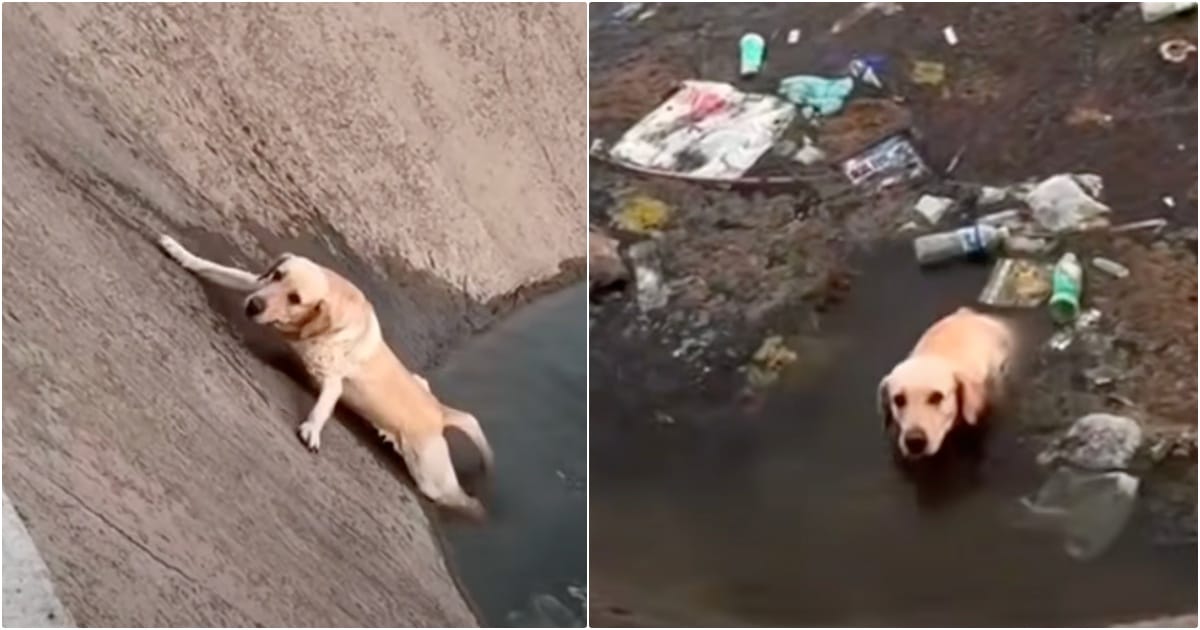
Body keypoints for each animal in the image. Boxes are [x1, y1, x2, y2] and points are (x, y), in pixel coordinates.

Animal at [158, 232, 492, 518]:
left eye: (295, 298)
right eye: (277, 275)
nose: (253, 306)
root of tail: (439, 413)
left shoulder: (332, 379)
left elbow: (324, 405)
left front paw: (312, 428)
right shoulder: (255, 284)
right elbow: (216, 267)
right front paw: (181, 252)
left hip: (433, 479)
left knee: (460, 499)